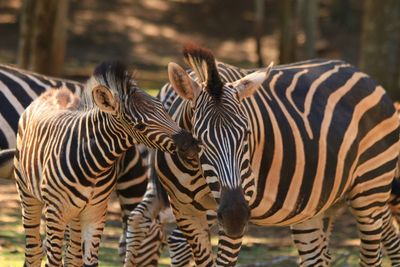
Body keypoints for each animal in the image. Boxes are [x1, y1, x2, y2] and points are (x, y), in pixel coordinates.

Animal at [13, 61, 198, 267]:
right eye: (140, 126)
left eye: (165, 110)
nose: (191, 144)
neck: (94, 165)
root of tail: (54, 92)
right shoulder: (56, 213)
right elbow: (53, 260)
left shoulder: (96, 212)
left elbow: (88, 260)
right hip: (28, 195)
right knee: (34, 249)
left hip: (75, 214)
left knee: (72, 255)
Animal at [126, 45, 400, 266]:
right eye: (198, 139)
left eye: (247, 134)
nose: (236, 216)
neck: (194, 171)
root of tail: (364, 76)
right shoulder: (185, 212)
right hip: (318, 205)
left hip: (371, 190)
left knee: (374, 253)